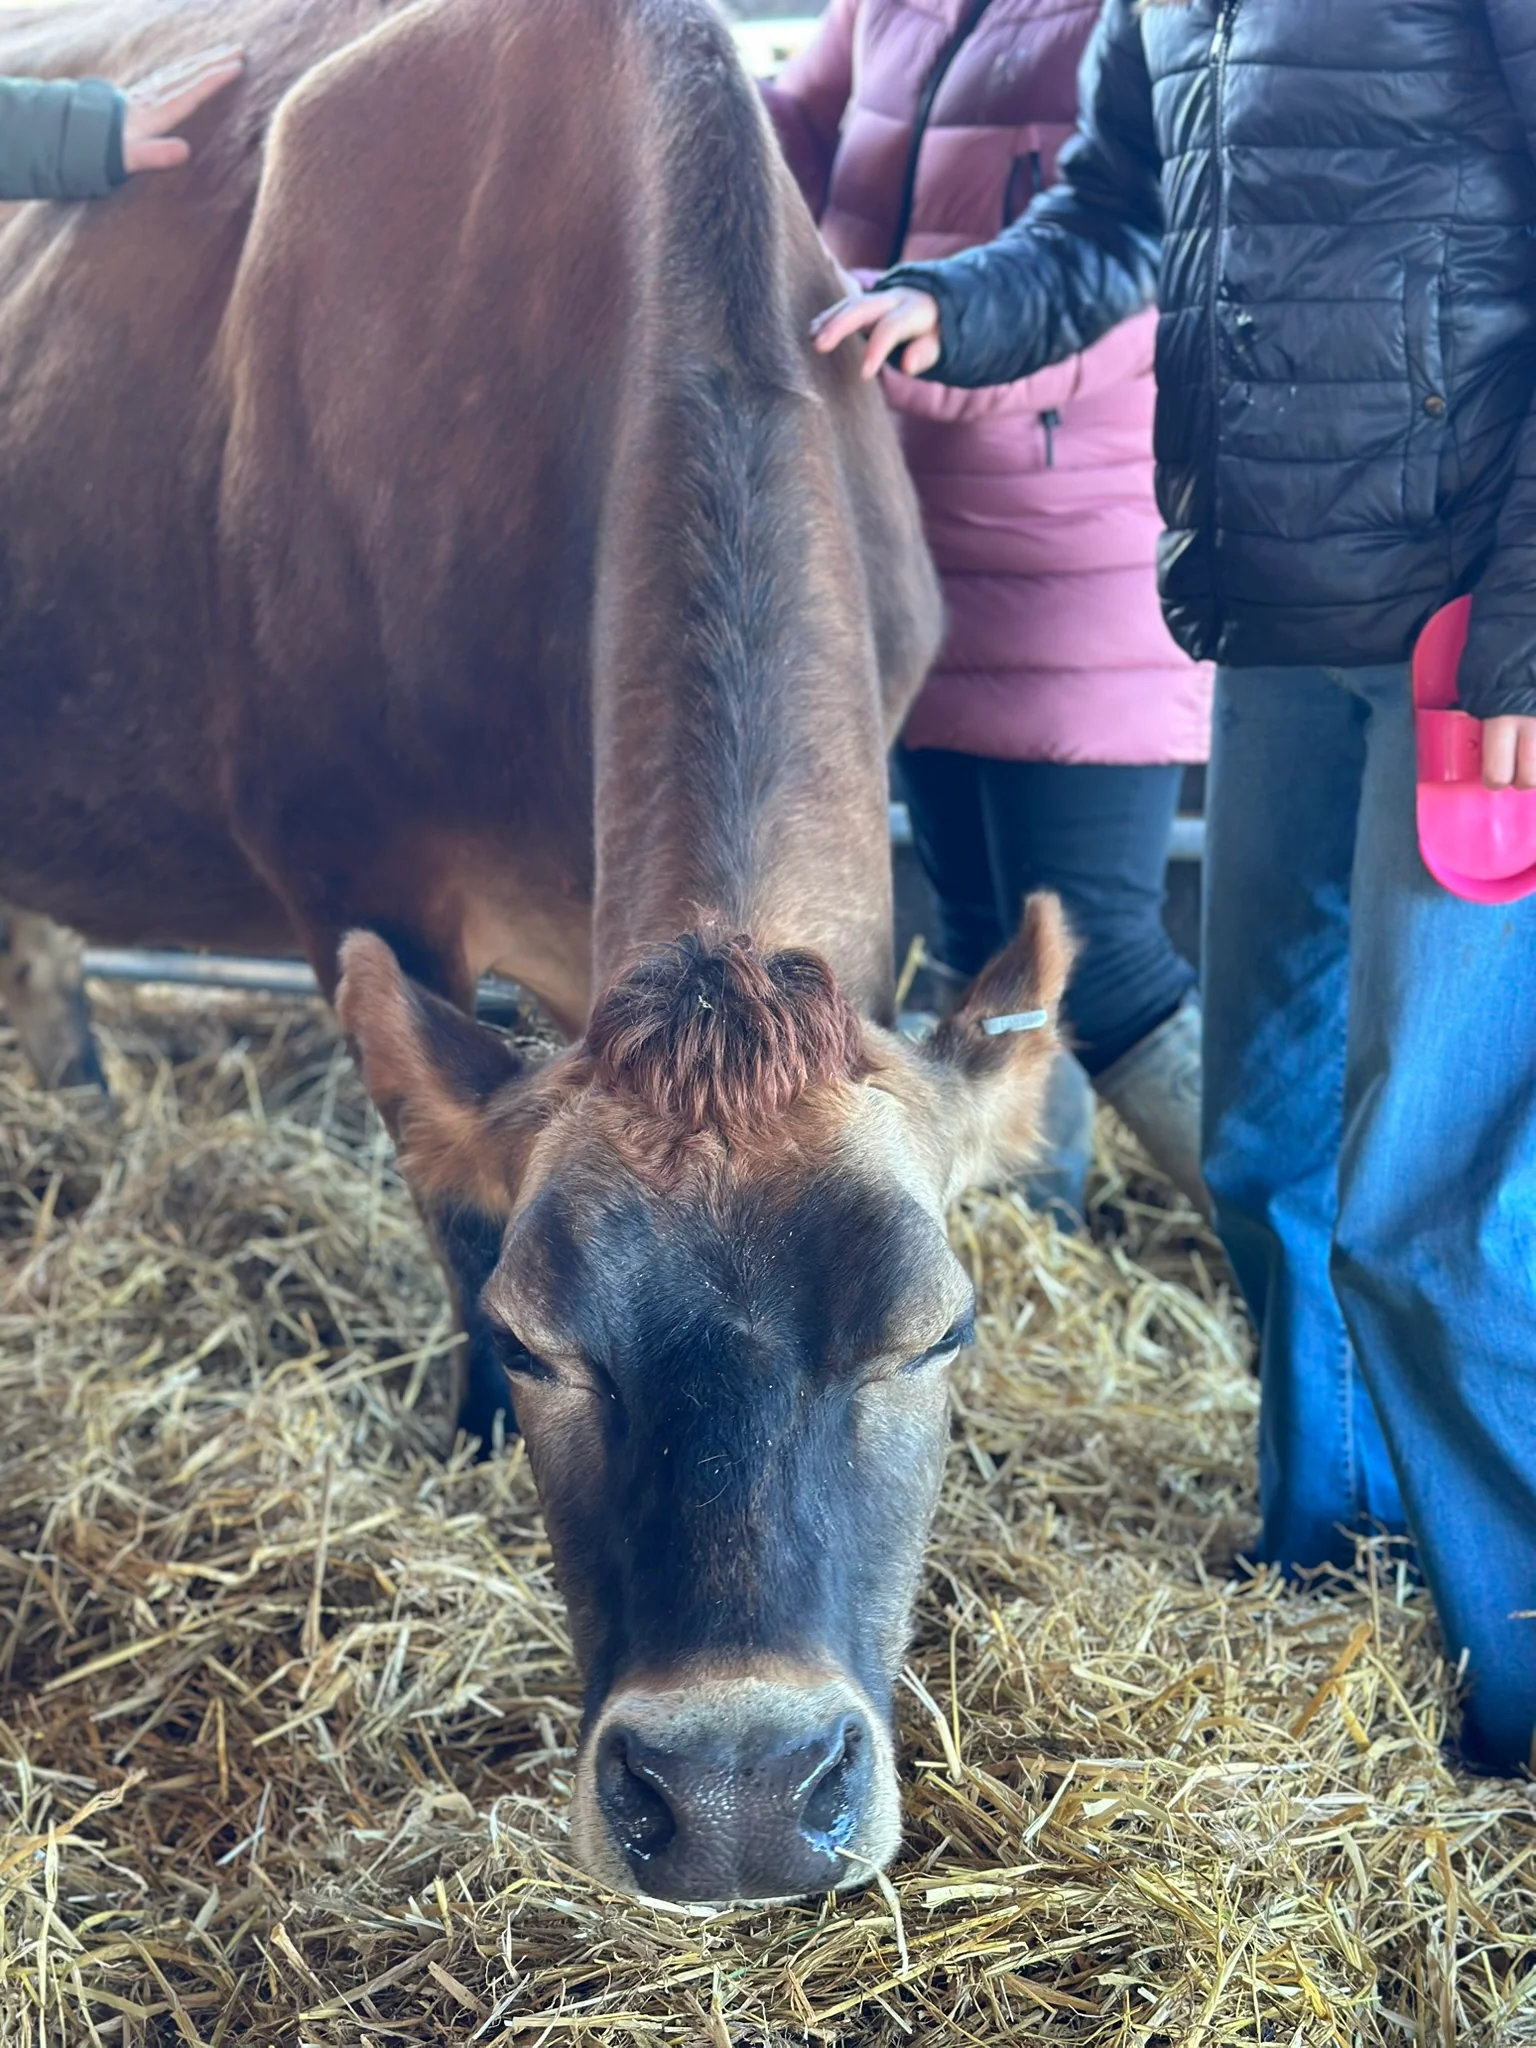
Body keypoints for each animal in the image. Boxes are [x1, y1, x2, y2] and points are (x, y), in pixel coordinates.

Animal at [0, 0, 1070, 1903]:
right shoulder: (353, 865)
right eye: (532, 1340)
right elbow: (442, 1192)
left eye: (937, 1333)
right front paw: (469, 1449)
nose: (733, 1786)